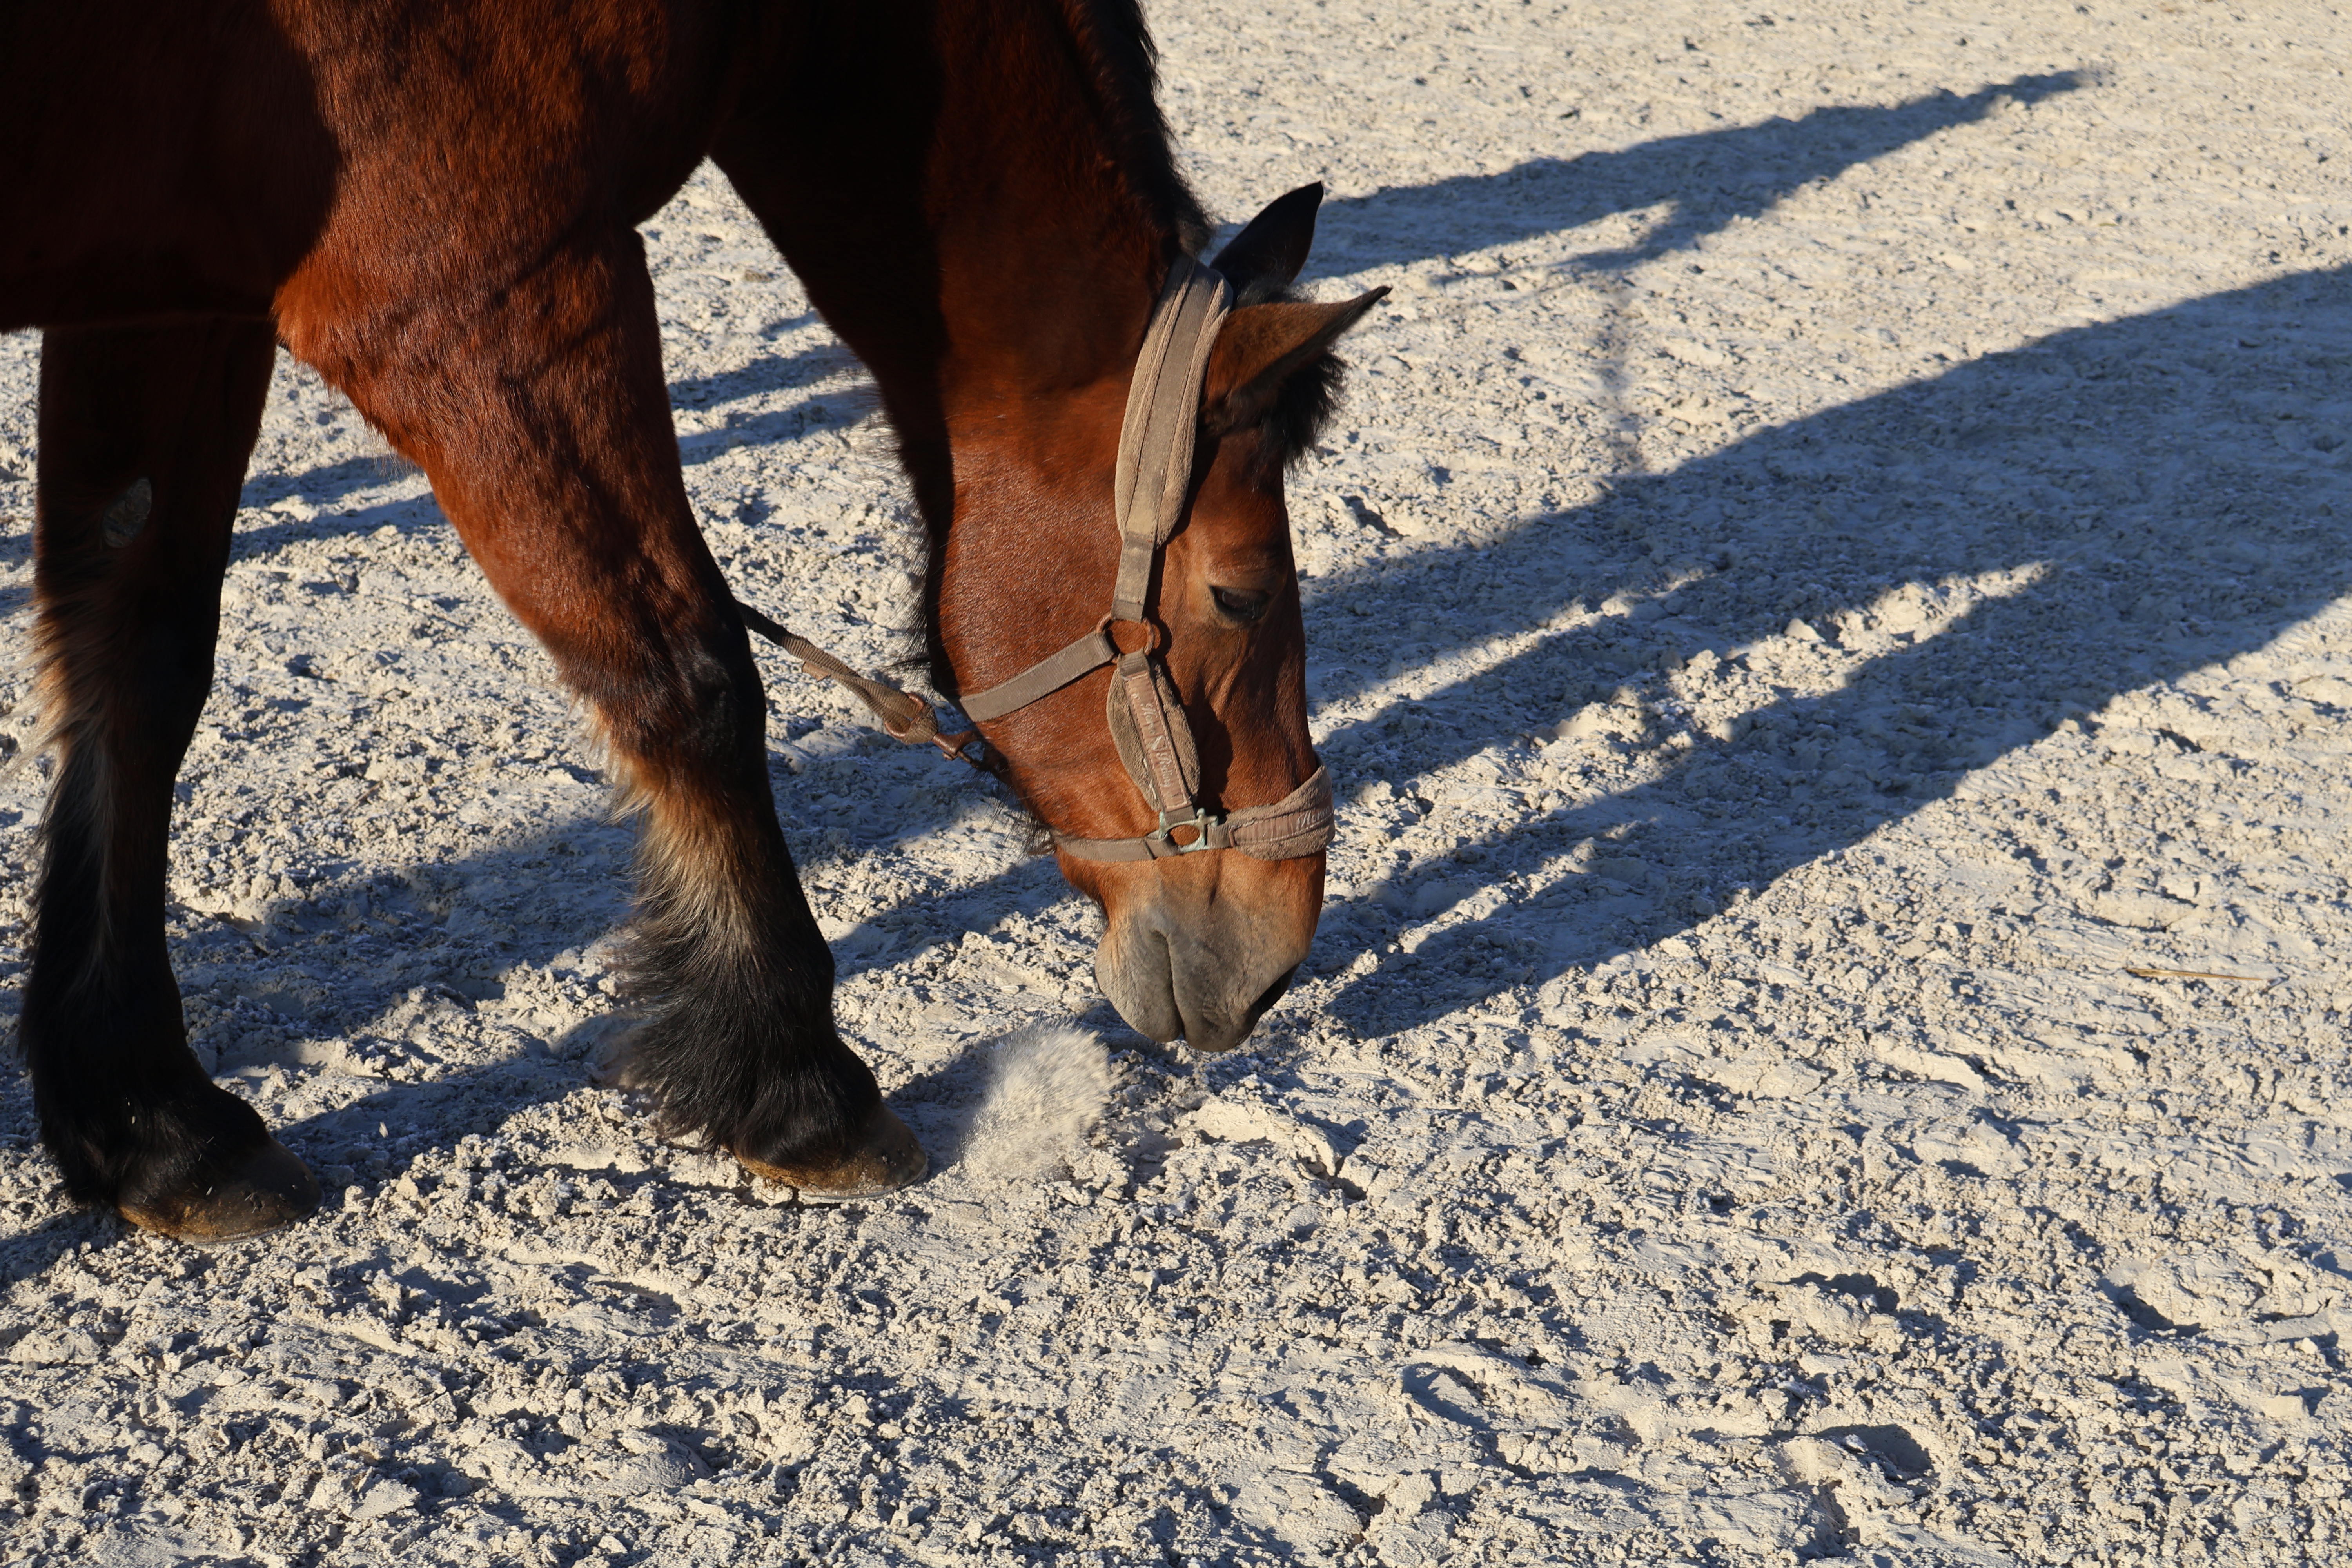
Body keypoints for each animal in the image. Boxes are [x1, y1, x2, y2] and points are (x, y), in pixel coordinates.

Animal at [0, 0, 1384, 1243]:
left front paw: (149, 1121)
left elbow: (137, 665)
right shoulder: (478, 300)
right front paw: (795, 1084)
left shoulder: (179, 300)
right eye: (1237, 593)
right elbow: (688, 672)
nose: (1271, 948)